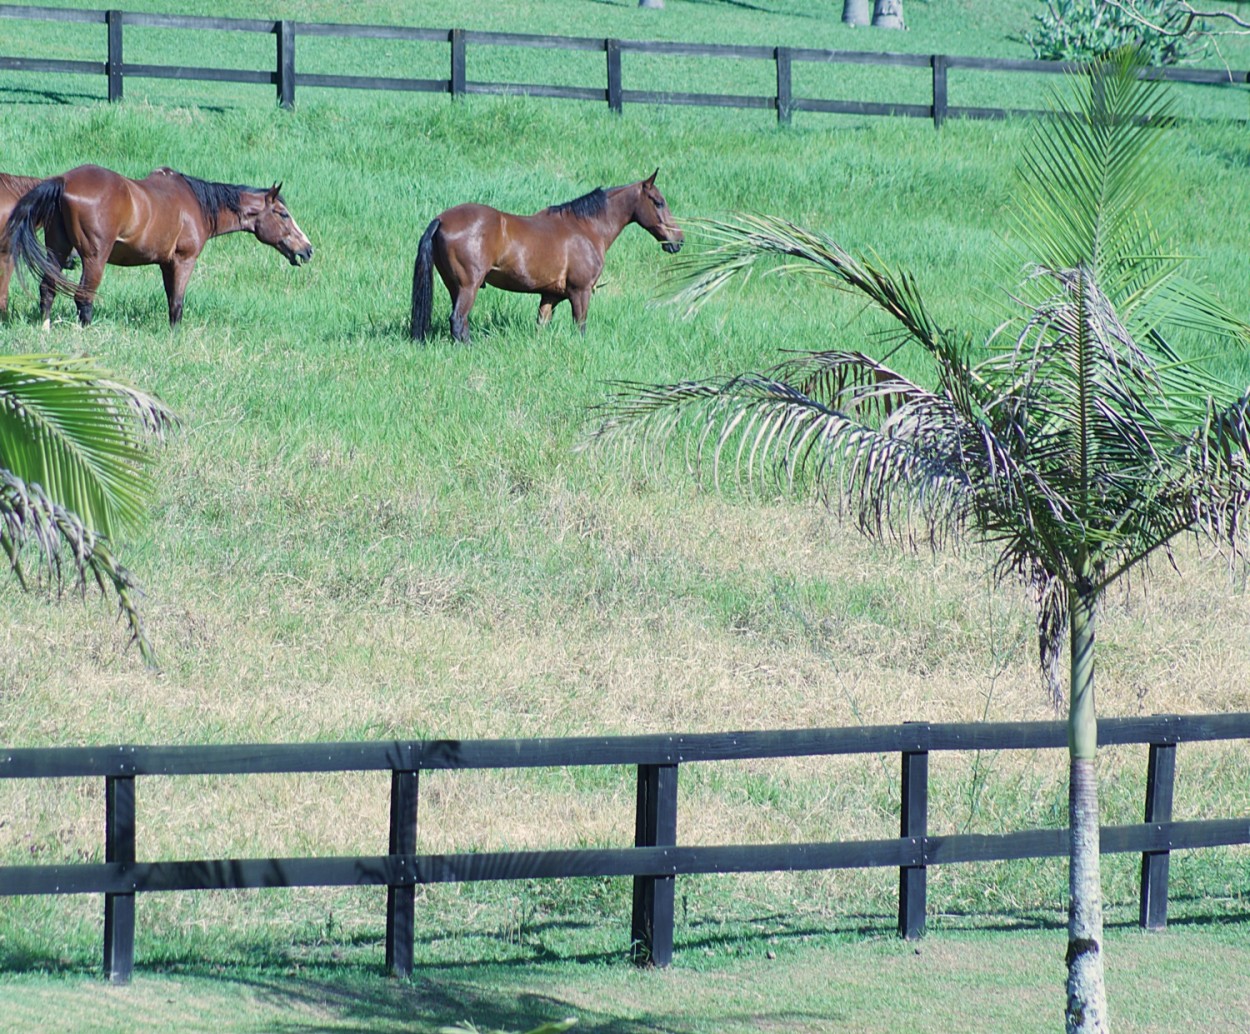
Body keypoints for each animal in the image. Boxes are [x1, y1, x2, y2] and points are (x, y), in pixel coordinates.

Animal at [2, 162, 315, 327]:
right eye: (283, 214)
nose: (307, 249)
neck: (196, 204)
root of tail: (64, 181)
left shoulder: (166, 264)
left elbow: (169, 300)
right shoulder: (184, 260)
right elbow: (177, 304)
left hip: (57, 249)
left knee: (48, 289)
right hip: (94, 258)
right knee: (83, 298)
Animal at [410, 170, 685, 342]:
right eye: (658, 202)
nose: (679, 241)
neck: (585, 228)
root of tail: (441, 219)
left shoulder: (549, 296)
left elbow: (541, 326)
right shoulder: (580, 292)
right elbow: (580, 326)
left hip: (454, 286)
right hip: (469, 286)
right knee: (458, 320)